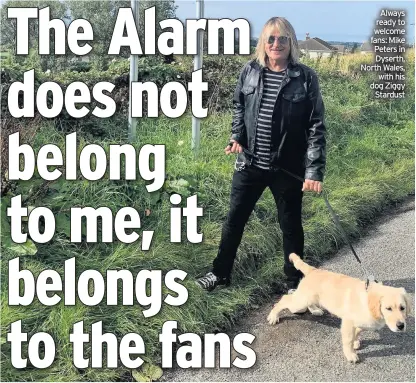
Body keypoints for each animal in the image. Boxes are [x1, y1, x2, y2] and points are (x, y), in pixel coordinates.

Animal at [268, 255, 412, 364]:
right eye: (388, 308)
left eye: (402, 308)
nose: (401, 326)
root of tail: (313, 270)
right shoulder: (348, 321)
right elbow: (348, 339)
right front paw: (350, 354)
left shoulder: (359, 322)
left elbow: (357, 332)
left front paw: (355, 342)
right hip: (299, 302)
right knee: (284, 299)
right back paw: (273, 316)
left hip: (308, 298)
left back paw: (315, 310)